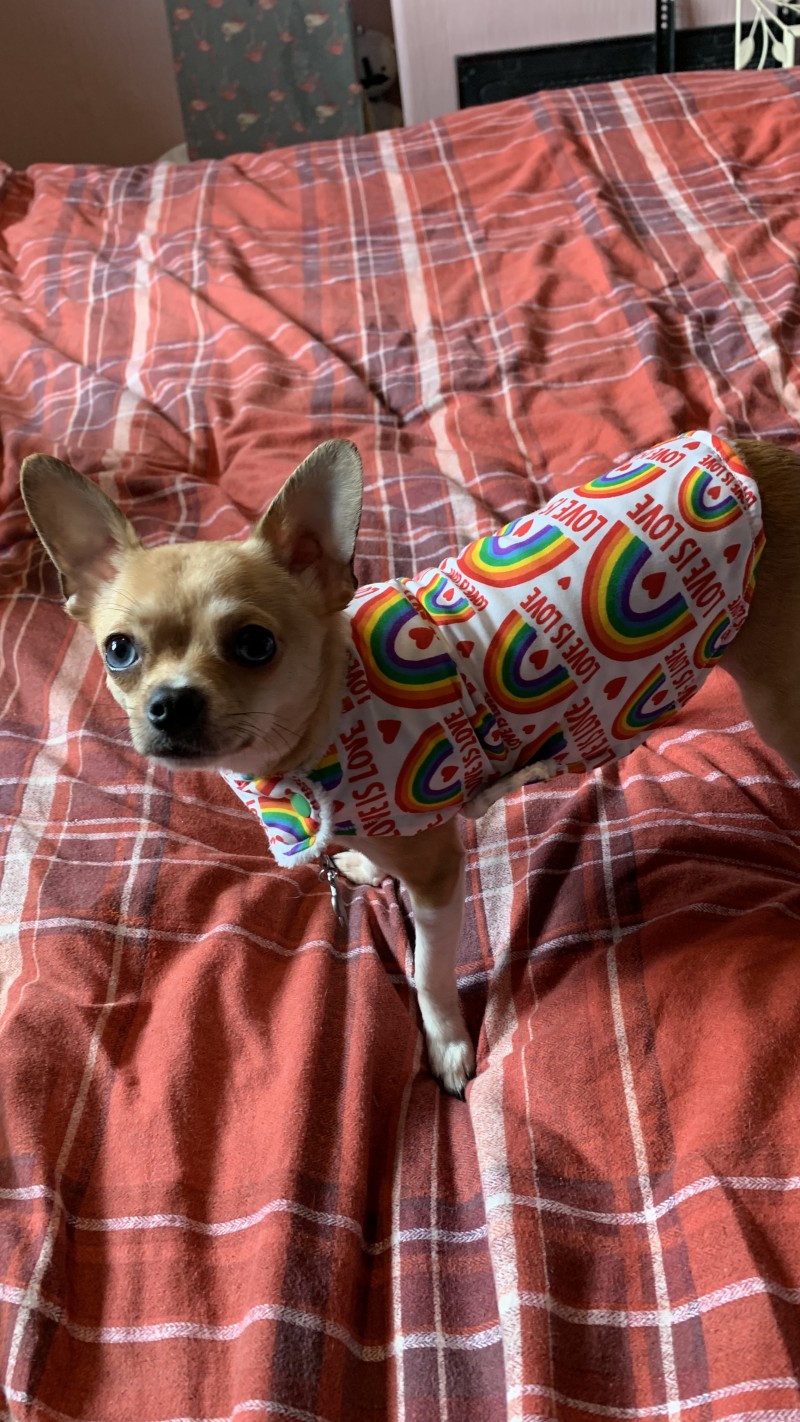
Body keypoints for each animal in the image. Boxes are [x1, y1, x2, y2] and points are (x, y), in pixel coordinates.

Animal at [20, 432, 800, 1095]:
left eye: (254, 644)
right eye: (119, 650)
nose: (171, 703)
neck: (327, 730)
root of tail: (759, 455)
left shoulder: (436, 879)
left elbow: (426, 973)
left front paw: (447, 1045)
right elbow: (365, 860)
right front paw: (363, 865)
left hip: (774, 703)